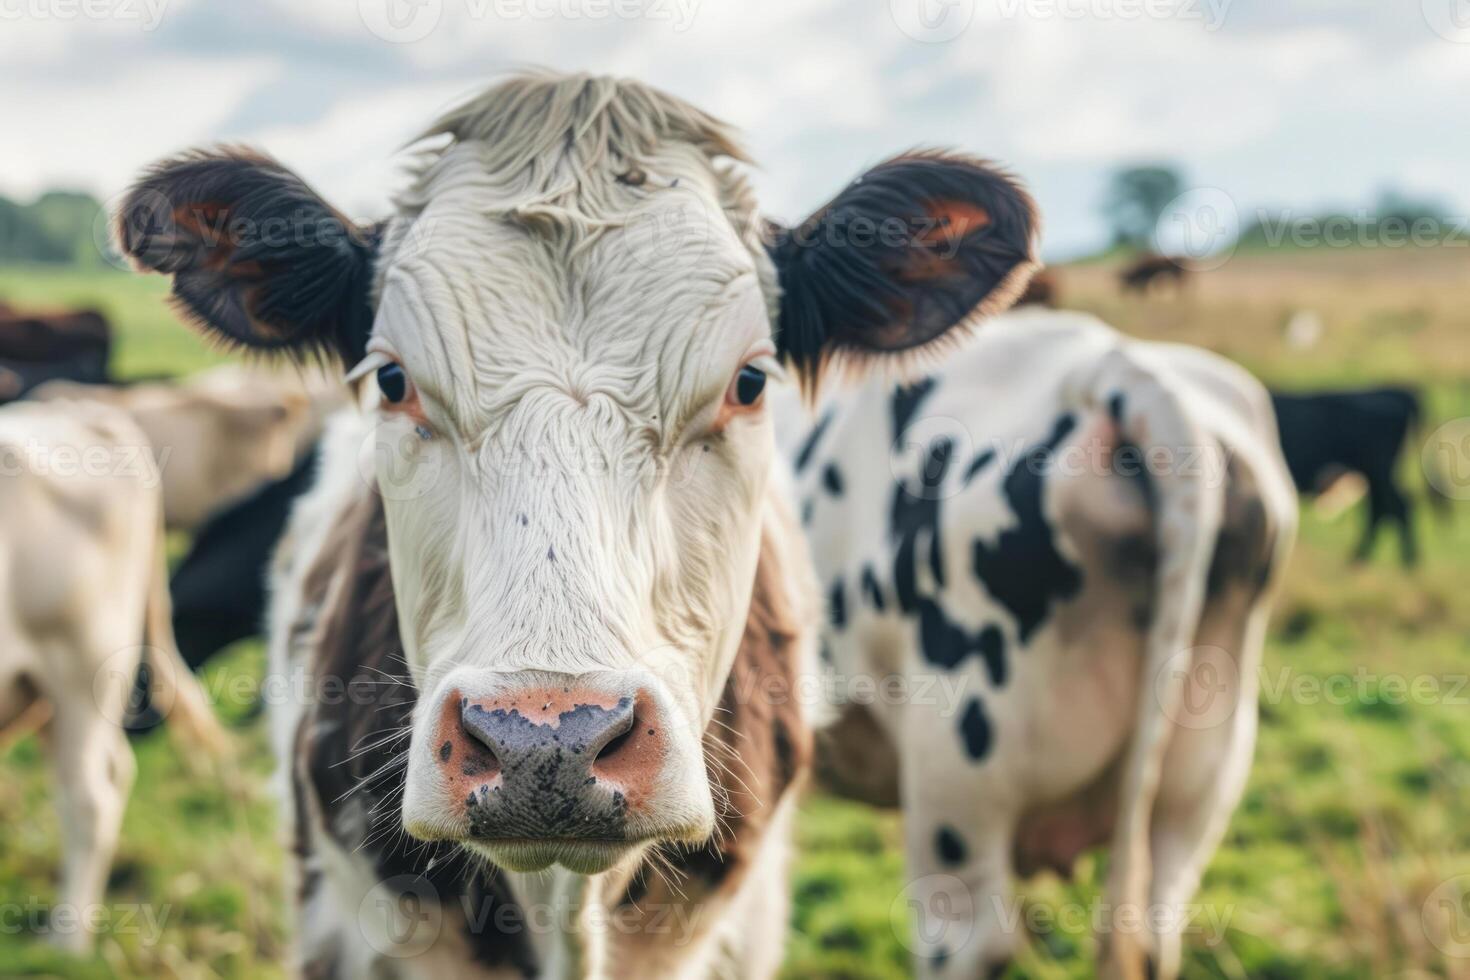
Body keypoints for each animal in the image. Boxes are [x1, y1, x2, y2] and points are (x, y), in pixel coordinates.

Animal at [0, 396, 226, 952]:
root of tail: (81, 412)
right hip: (42, 693)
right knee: (110, 774)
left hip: (80, 671)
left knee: (89, 798)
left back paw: (66, 944)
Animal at [1264, 382, 1446, 567]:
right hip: (1374, 475)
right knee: (1381, 509)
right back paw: (1361, 557)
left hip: (1379, 470)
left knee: (1398, 506)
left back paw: (1406, 561)